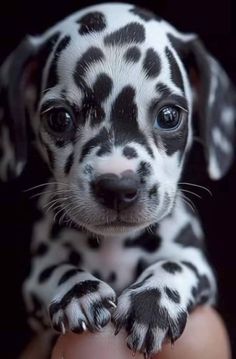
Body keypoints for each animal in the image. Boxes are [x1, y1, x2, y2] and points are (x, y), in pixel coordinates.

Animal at [0, 2, 236, 358]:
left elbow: (177, 264)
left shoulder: (198, 265)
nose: (117, 188)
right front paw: (77, 290)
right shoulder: (34, 283)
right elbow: (52, 270)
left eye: (169, 115)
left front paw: (153, 300)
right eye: (59, 118)